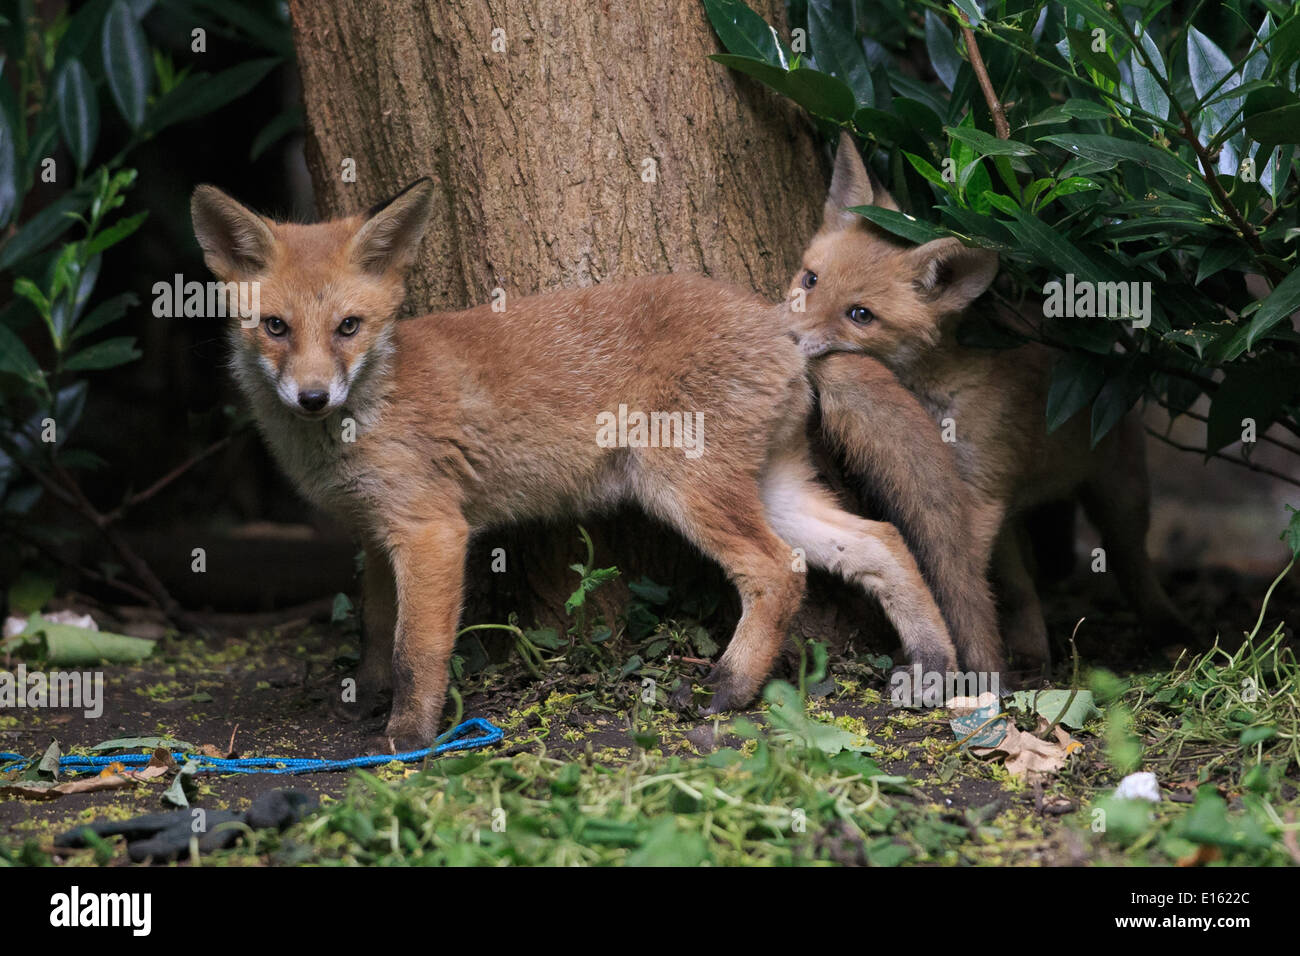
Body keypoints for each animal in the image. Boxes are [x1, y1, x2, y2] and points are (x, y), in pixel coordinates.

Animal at [190, 178, 962, 751]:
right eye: (275, 327)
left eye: (348, 327)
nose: (313, 397)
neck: (362, 416)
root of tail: (782, 324)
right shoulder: (377, 536)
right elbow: (380, 633)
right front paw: (364, 699)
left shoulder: (432, 531)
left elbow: (418, 650)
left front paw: (408, 739)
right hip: (771, 491)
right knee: (880, 543)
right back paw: (935, 665)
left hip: (682, 487)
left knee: (777, 573)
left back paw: (730, 688)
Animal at [787, 133, 1184, 671]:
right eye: (810, 280)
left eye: (860, 315)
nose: (786, 337)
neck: (937, 395)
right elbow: (993, 587)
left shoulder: (978, 494)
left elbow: (955, 577)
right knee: (1022, 587)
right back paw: (1033, 651)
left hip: (1119, 496)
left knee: (1131, 561)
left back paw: (1166, 629)